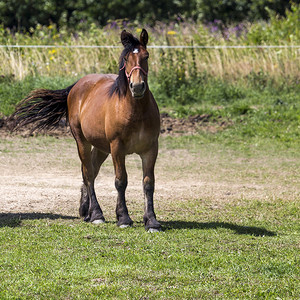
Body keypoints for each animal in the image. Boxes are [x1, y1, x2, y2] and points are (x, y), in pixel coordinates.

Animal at [10, 28, 162, 232]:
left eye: (146, 56)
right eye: (126, 59)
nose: (137, 87)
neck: (134, 111)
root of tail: (76, 86)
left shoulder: (150, 149)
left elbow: (148, 183)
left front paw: (151, 221)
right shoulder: (117, 148)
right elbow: (121, 181)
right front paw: (123, 218)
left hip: (101, 147)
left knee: (91, 171)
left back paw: (86, 210)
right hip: (82, 141)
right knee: (88, 173)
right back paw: (96, 214)